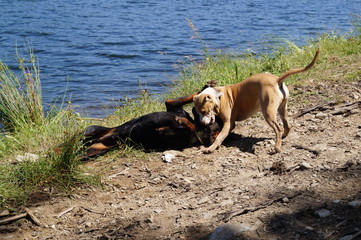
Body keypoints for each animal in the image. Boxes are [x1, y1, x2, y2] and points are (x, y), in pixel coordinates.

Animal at [82, 86, 221, 158]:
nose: (195, 109)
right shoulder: (172, 106)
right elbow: (179, 100)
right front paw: (204, 89)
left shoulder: (171, 135)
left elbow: (189, 127)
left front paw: (183, 121)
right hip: (92, 129)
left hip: (95, 150)